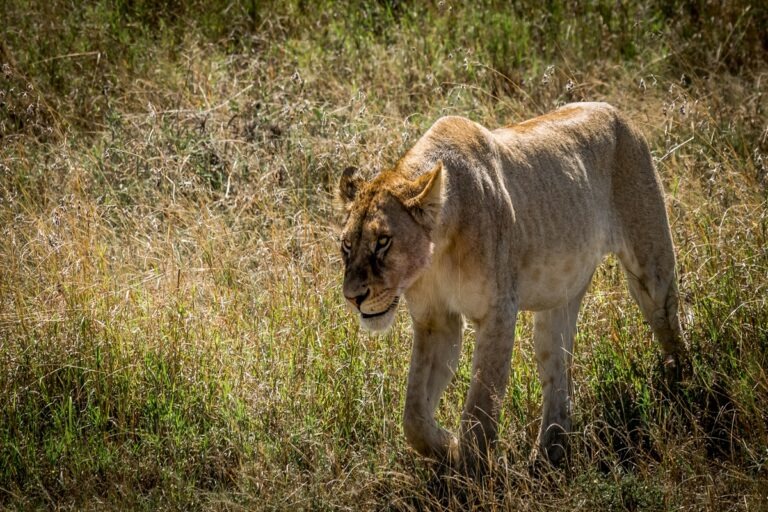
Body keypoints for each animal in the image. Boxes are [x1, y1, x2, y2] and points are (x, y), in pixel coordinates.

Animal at [336, 102, 684, 470]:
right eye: (346, 245)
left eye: (383, 242)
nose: (353, 297)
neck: (437, 253)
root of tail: (615, 111)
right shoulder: (436, 321)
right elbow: (414, 414)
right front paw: (449, 447)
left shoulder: (498, 312)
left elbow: (480, 405)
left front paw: (473, 469)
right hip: (557, 302)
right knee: (557, 371)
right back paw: (548, 455)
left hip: (652, 266)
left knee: (669, 326)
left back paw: (682, 388)